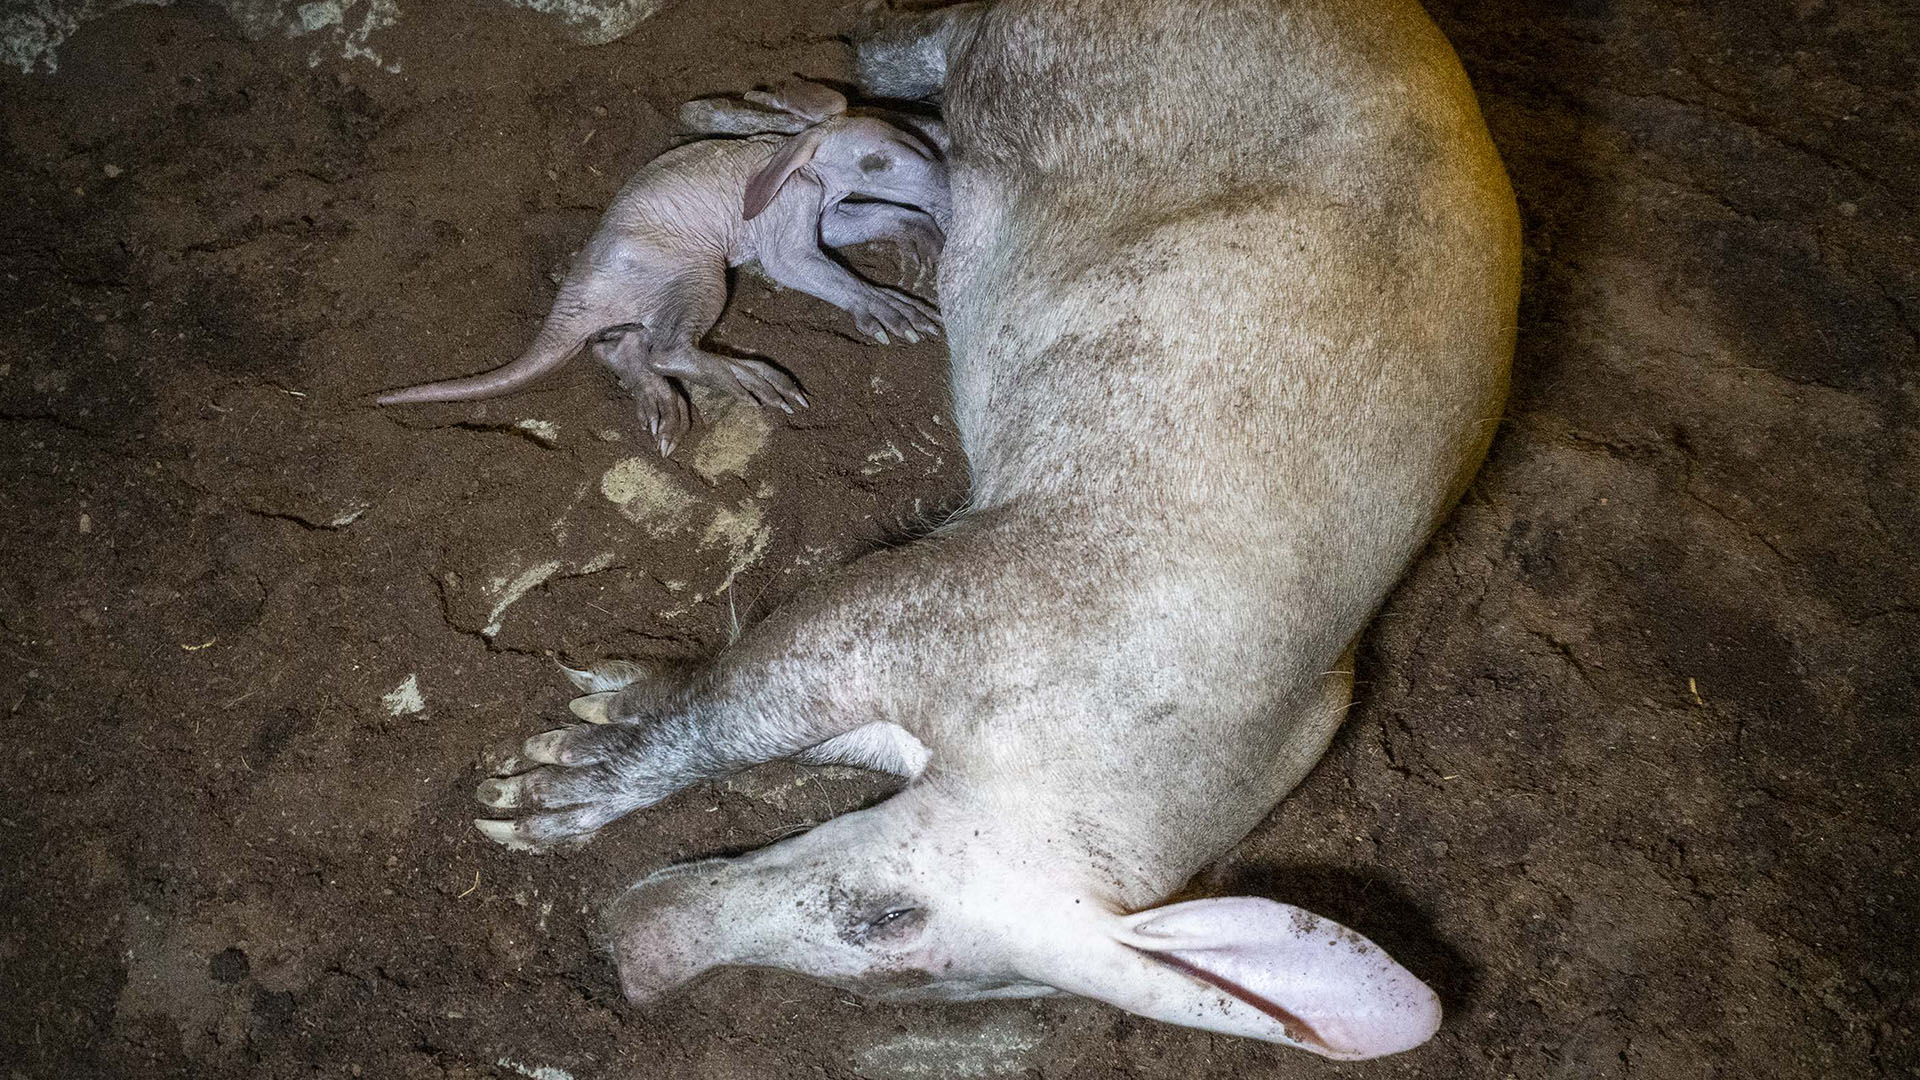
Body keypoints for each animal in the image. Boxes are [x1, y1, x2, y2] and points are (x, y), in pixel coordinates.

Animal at [377, 79, 948, 457]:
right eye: (876, 163)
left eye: (916, 140)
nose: (946, 183)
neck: (792, 156)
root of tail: (575, 298)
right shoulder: (785, 208)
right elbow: (797, 264)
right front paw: (888, 306)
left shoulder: (822, 208)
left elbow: (863, 223)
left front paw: (921, 236)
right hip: (693, 271)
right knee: (667, 348)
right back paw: (749, 377)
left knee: (619, 346)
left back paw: (660, 404)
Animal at [471, 0, 1520, 1061]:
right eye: (889, 920)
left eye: (918, 988)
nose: (631, 963)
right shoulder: (945, 587)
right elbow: (738, 705)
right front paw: (528, 801)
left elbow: (770, 724)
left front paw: (590, 709)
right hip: (1032, 55)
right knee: (899, 57)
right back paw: (748, 110)